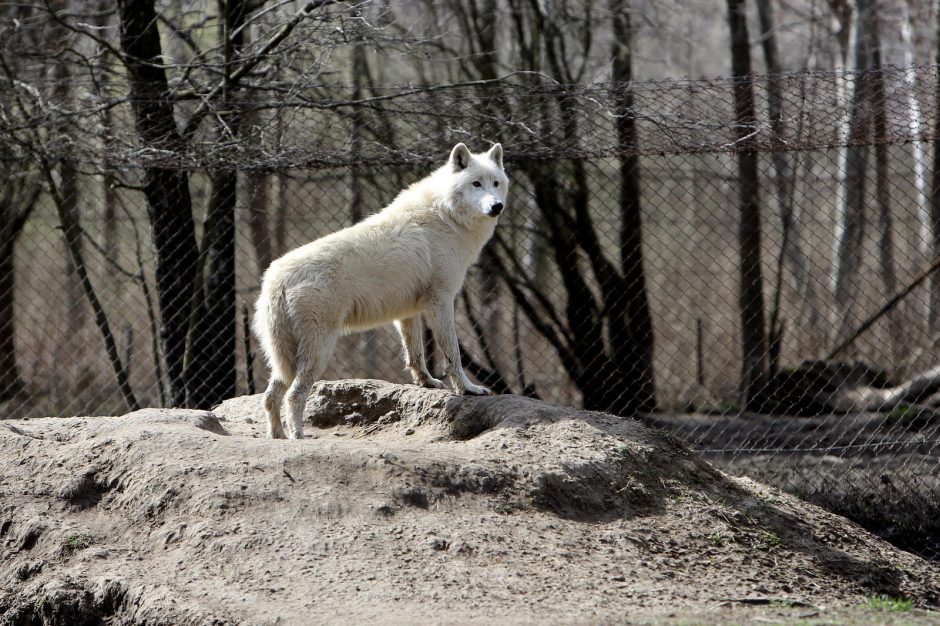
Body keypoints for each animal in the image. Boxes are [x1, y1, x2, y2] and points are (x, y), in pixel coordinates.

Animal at [252, 142, 506, 436]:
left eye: (496, 183)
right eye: (476, 184)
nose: (497, 206)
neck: (446, 217)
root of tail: (276, 278)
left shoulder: (408, 312)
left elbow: (415, 355)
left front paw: (427, 383)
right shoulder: (441, 301)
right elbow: (453, 355)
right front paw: (468, 389)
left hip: (285, 357)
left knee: (270, 396)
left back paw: (277, 437)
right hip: (318, 350)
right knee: (294, 395)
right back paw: (298, 437)